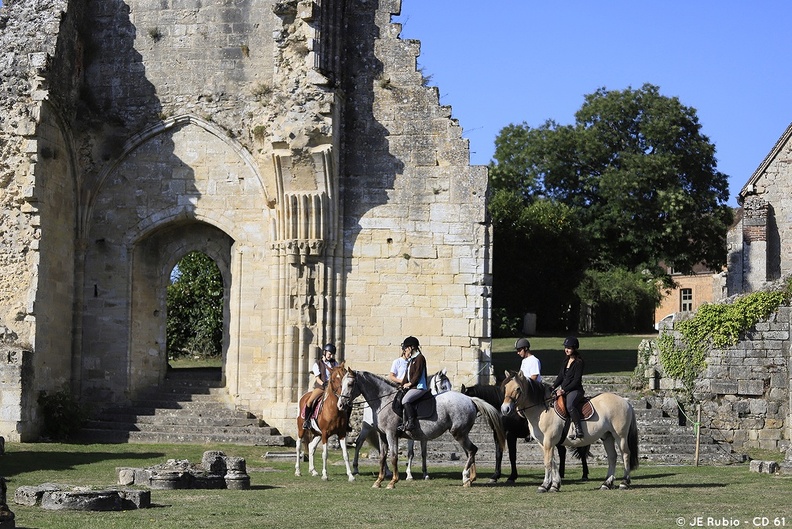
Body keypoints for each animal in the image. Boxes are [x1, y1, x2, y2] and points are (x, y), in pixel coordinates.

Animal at [338, 368, 504, 486]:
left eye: (350, 384)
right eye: (342, 385)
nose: (341, 405)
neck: (384, 400)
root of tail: (470, 399)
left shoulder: (392, 434)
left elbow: (394, 456)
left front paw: (393, 482)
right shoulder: (383, 435)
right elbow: (382, 457)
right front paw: (378, 481)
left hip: (459, 433)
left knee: (471, 450)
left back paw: (465, 477)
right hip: (462, 434)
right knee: (470, 451)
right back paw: (470, 478)